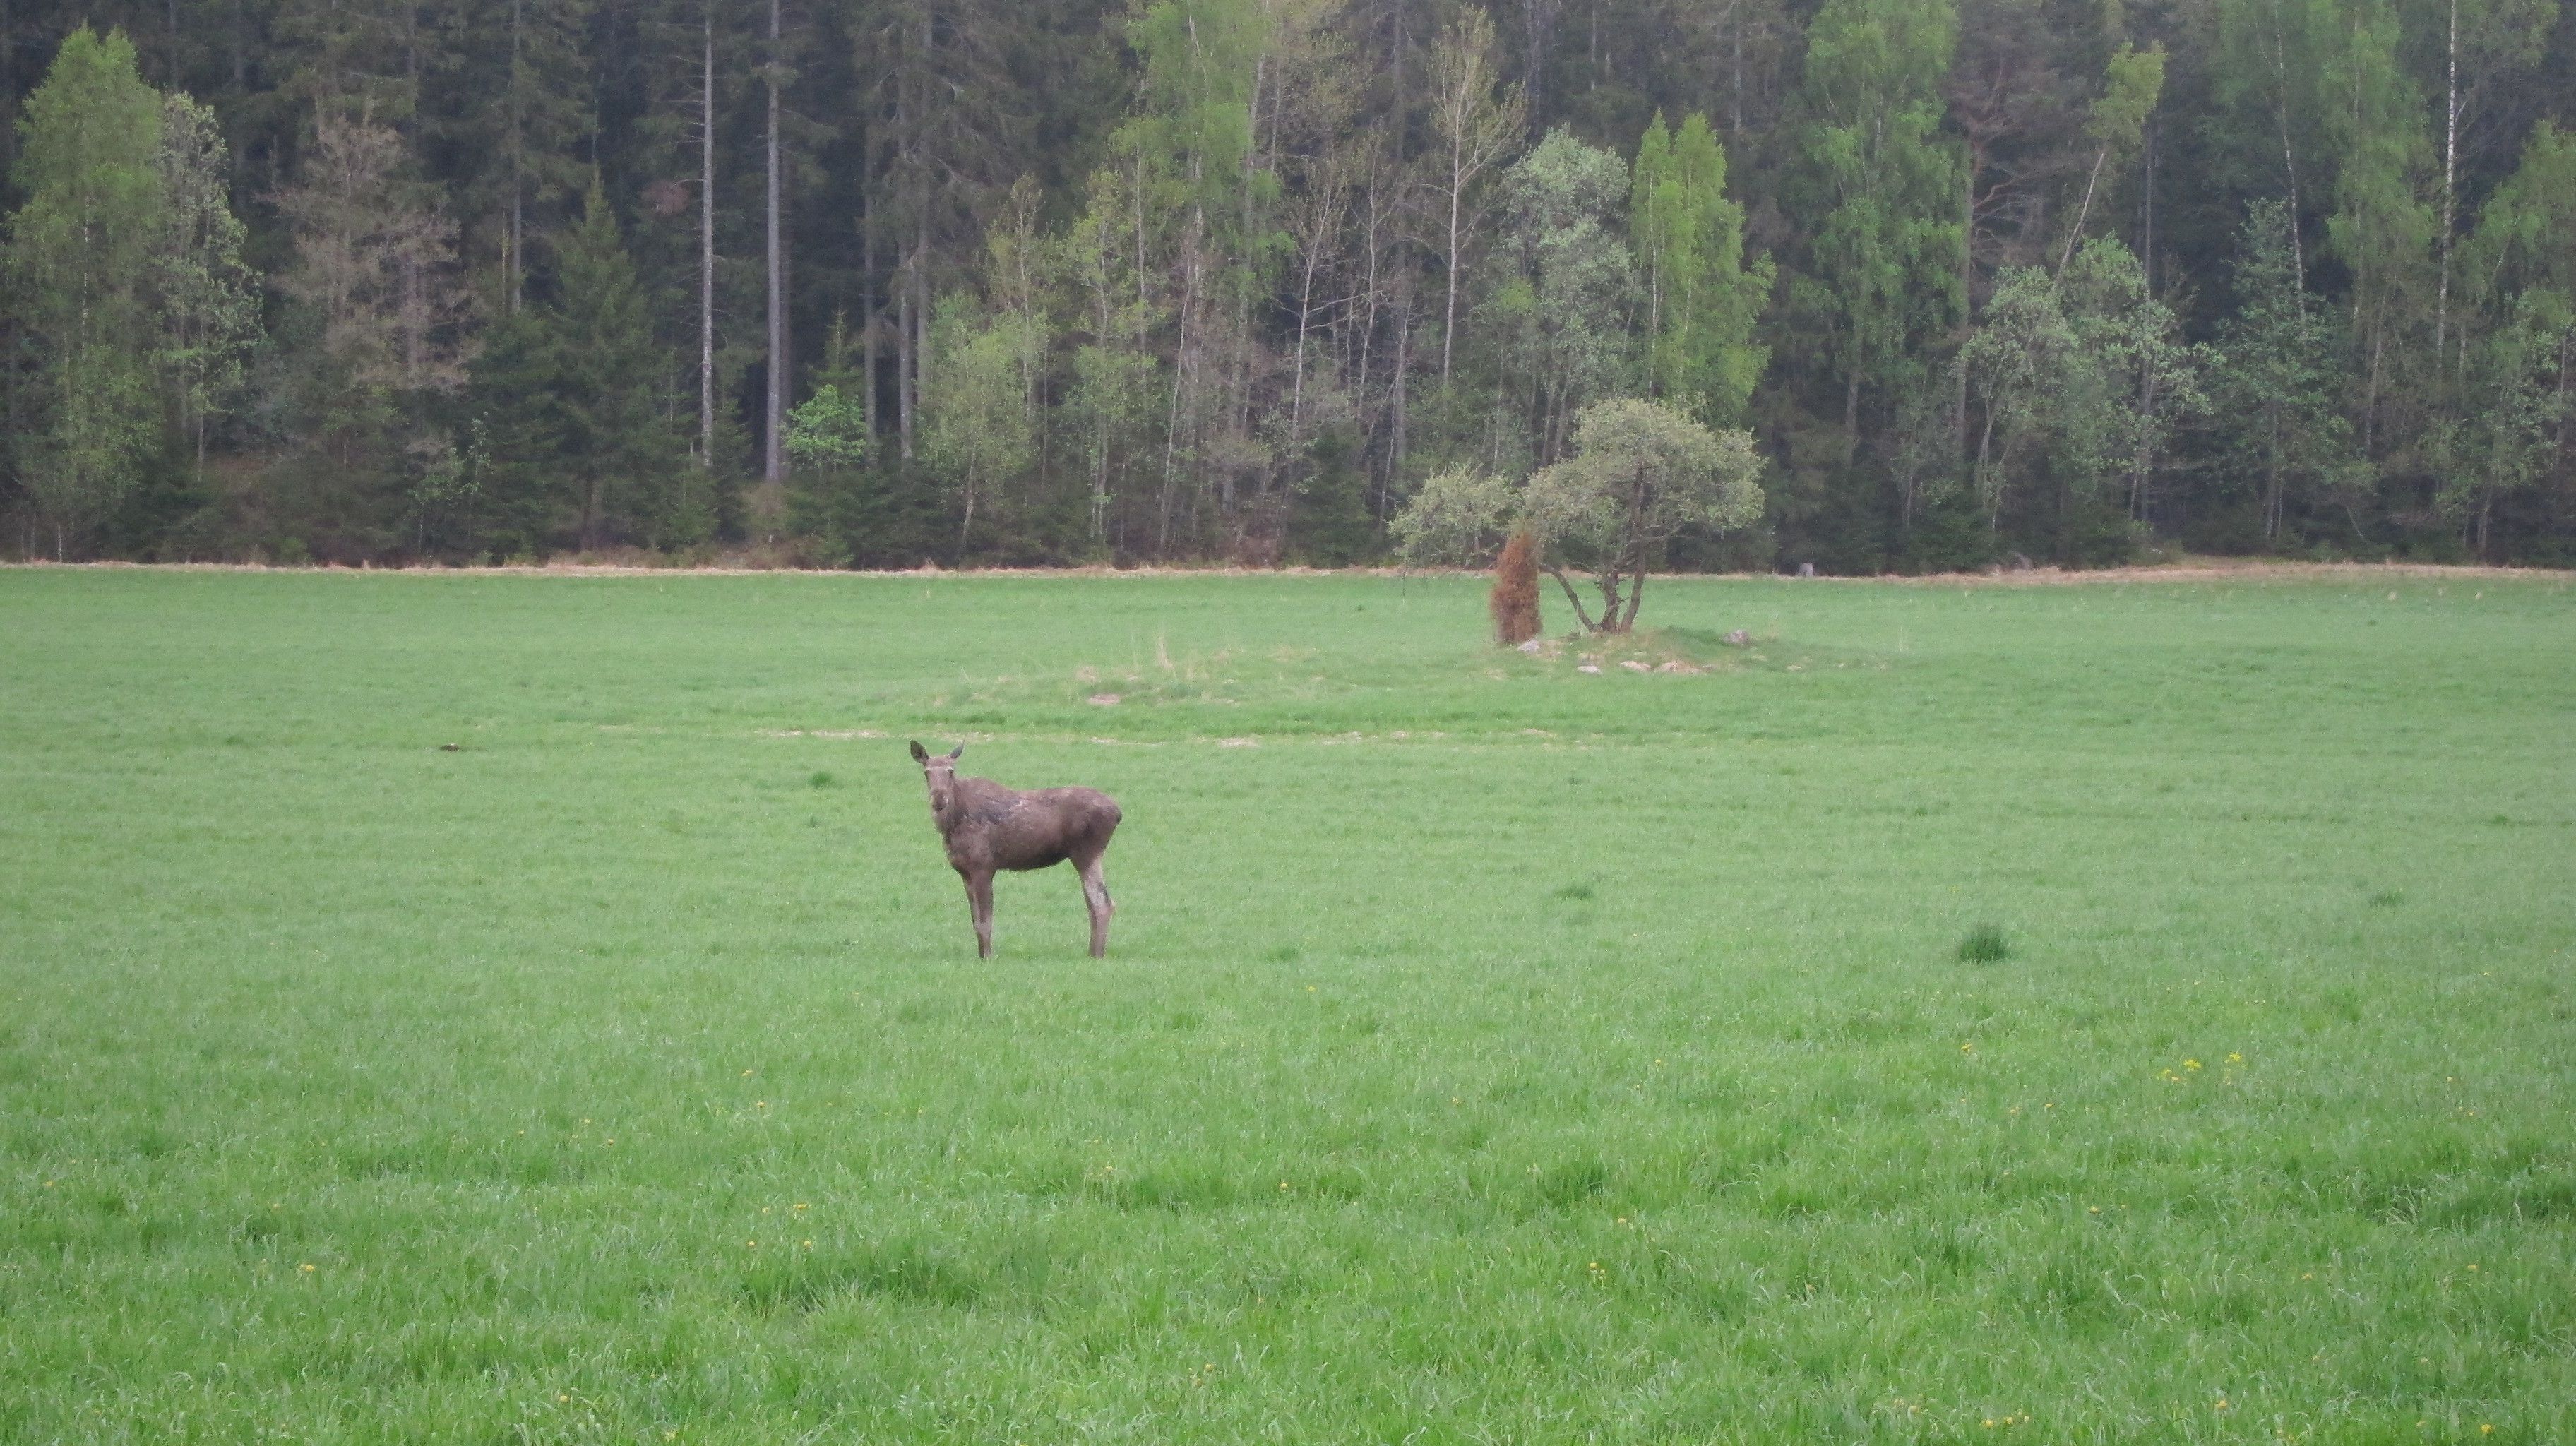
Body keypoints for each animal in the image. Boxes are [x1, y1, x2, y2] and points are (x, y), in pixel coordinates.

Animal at [909, 741, 1123, 959]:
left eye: (951, 771)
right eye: (927, 772)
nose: (938, 800)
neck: (951, 825)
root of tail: (1118, 813)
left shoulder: (984, 867)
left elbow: (985, 922)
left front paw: (988, 957)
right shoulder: (964, 872)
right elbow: (975, 922)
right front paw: (981, 955)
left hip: (1086, 854)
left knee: (1102, 903)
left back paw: (1096, 955)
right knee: (1094, 902)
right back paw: (1093, 952)